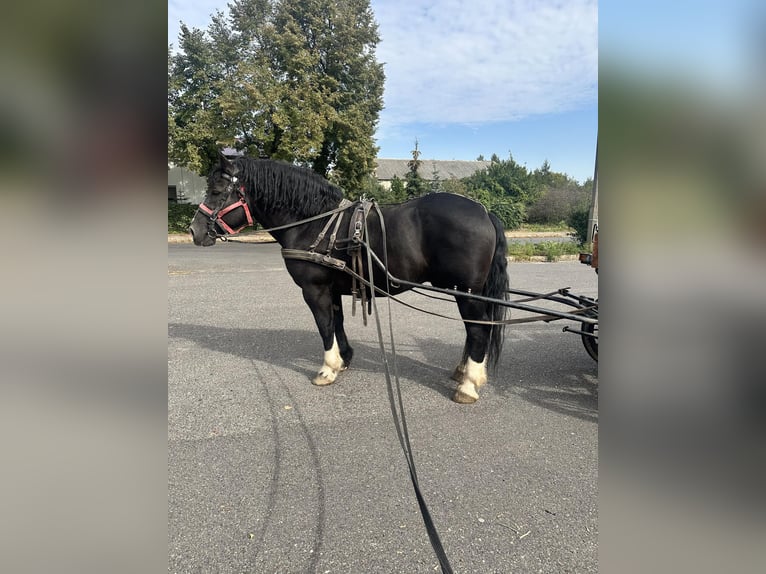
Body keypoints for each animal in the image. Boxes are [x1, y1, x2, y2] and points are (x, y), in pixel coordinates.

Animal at [188, 153, 508, 404]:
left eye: (217, 190)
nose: (195, 230)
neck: (314, 222)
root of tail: (484, 212)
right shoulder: (331, 289)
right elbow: (337, 322)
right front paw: (344, 358)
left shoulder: (314, 289)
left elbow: (324, 325)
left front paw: (327, 369)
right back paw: (463, 372)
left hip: (466, 292)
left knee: (478, 330)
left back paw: (468, 384)